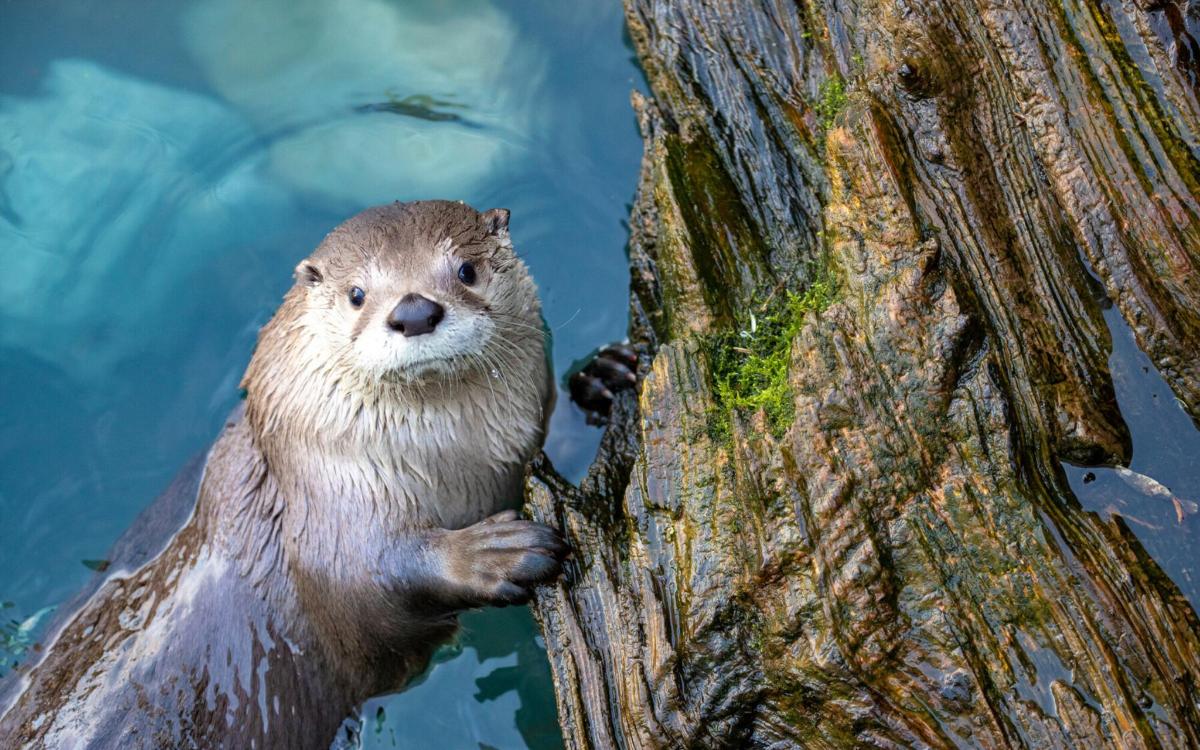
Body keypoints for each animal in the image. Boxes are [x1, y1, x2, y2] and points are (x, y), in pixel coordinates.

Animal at [0, 201, 581, 749]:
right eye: (356, 294)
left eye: (466, 270)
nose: (414, 311)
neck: (458, 470)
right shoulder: (327, 511)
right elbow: (371, 579)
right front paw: (496, 552)